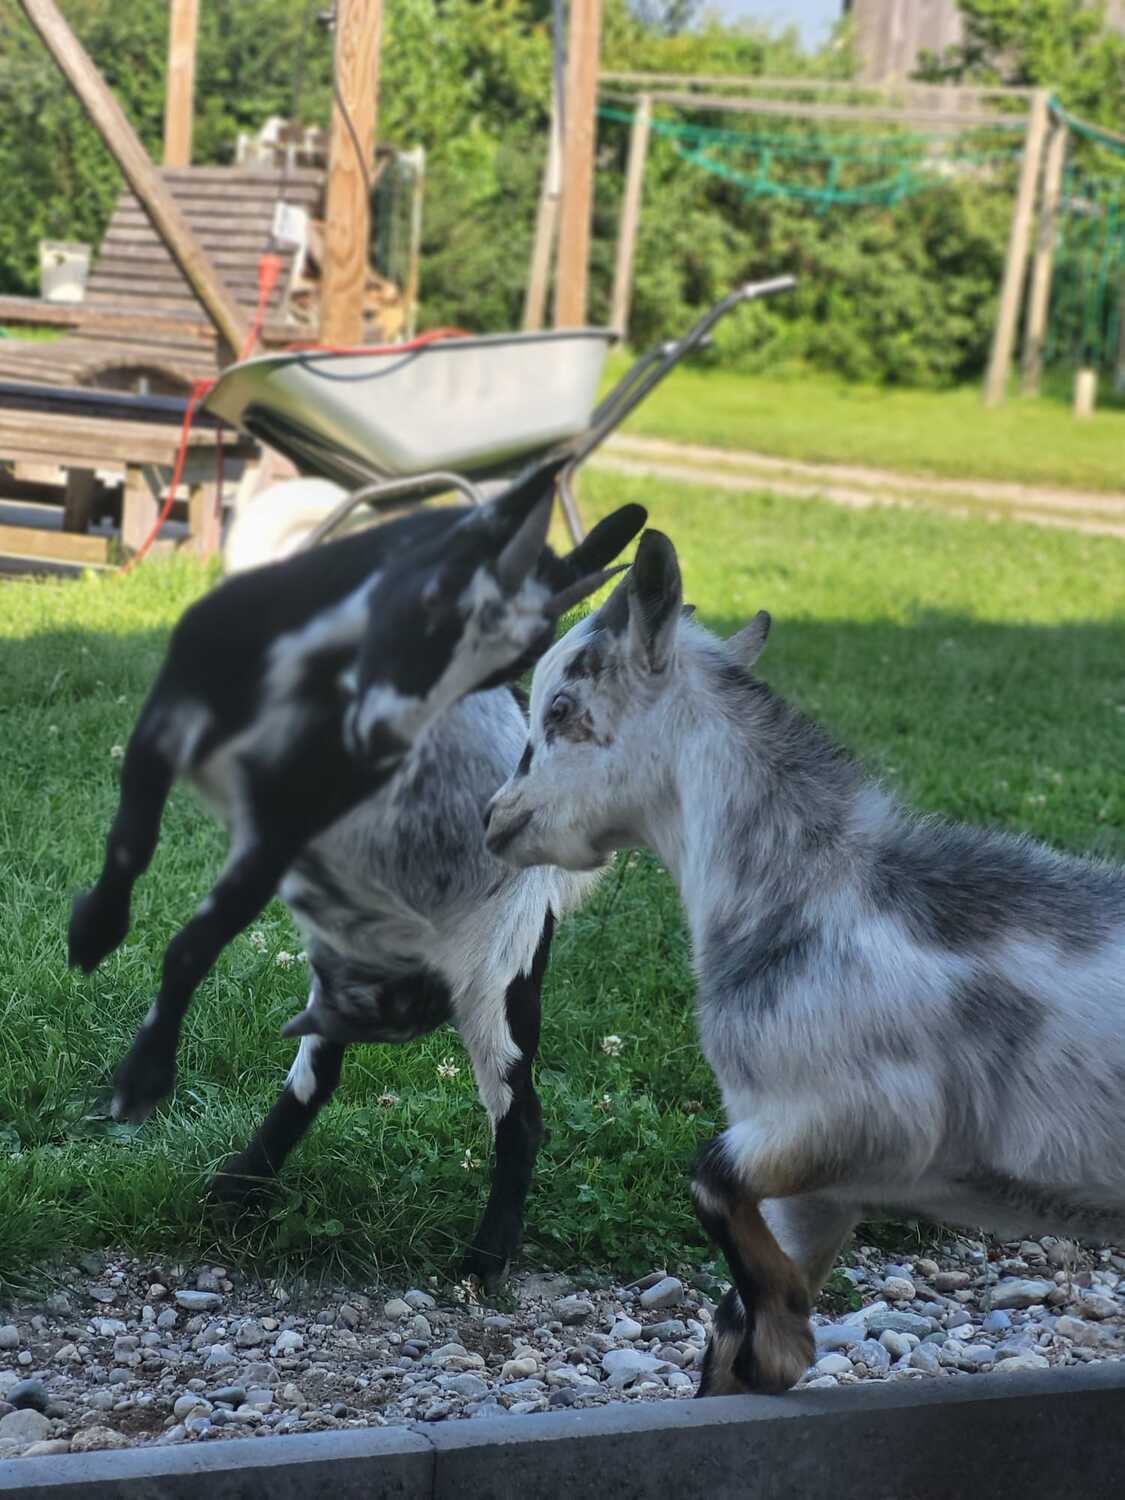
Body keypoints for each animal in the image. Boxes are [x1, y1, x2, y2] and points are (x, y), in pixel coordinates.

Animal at [70, 465, 648, 1278]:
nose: (388, 742)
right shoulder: (169, 724)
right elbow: (132, 840)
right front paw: (94, 931)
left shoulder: (280, 829)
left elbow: (191, 945)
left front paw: (143, 1078)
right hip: (357, 963)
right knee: (322, 1071)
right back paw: (239, 1187)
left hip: (495, 983)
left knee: (520, 1112)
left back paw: (486, 1254)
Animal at [486, 531, 1125, 1392]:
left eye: (559, 709)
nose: (496, 819)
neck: (813, 898)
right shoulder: (808, 1185)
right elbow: (727, 1327)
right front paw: (768, 1342)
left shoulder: (861, 1118)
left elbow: (706, 1175)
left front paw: (786, 1332)